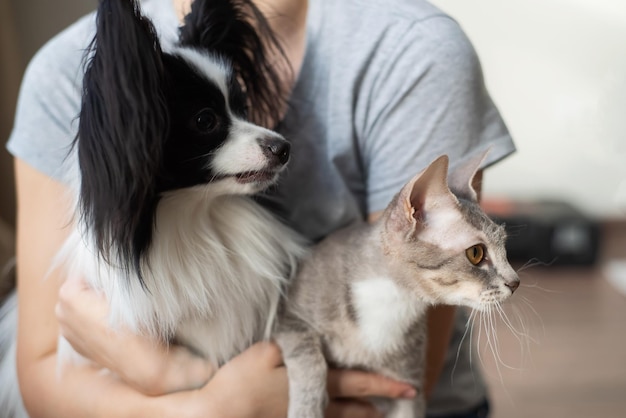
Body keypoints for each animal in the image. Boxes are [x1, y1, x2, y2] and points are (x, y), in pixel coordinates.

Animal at [276, 153, 520, 418]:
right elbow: (308, 358)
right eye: (476, 253)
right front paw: (306, 407)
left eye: (504, 246)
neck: (393, 300)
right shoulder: (287, 317)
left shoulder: (409, 385)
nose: (516, 282)